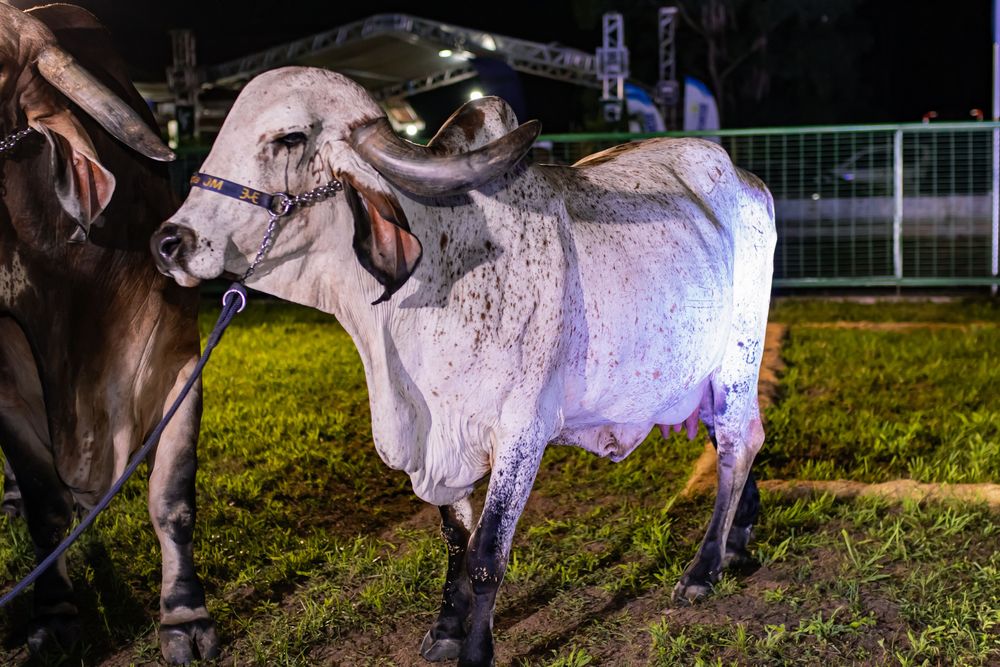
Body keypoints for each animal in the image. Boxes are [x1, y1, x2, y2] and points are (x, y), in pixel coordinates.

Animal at [152, 69, 776, 667]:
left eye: (290, 138)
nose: (168, 242)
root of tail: (750, 180)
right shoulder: (441, 441)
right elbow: (455, 537)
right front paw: (447, 629)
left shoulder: (521, 434)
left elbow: (485, 555)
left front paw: (476, 650)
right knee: (737, 437)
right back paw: (738, 539)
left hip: (738, 359)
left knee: (736, 442)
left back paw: (704, 569)